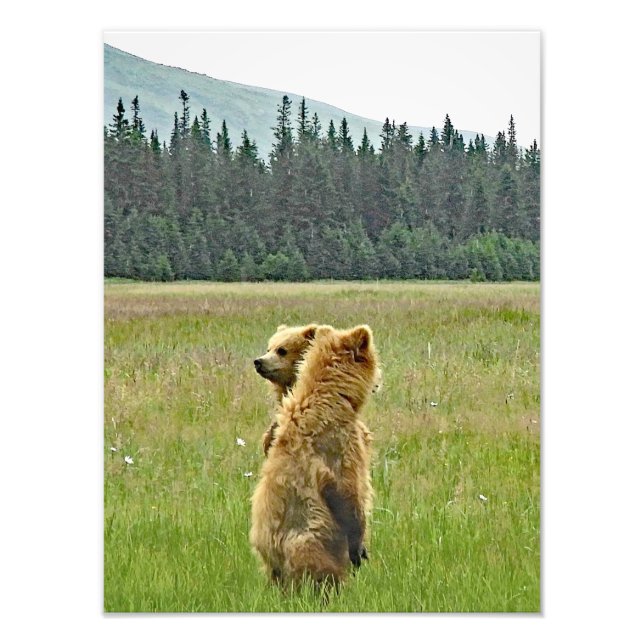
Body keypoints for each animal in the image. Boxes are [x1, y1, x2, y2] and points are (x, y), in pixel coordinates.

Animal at [249, 324, 380, 589]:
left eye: (280, 350)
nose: (258, 360)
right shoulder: (339, 445)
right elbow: (349, 490)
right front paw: (360, 549)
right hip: (313, 541)